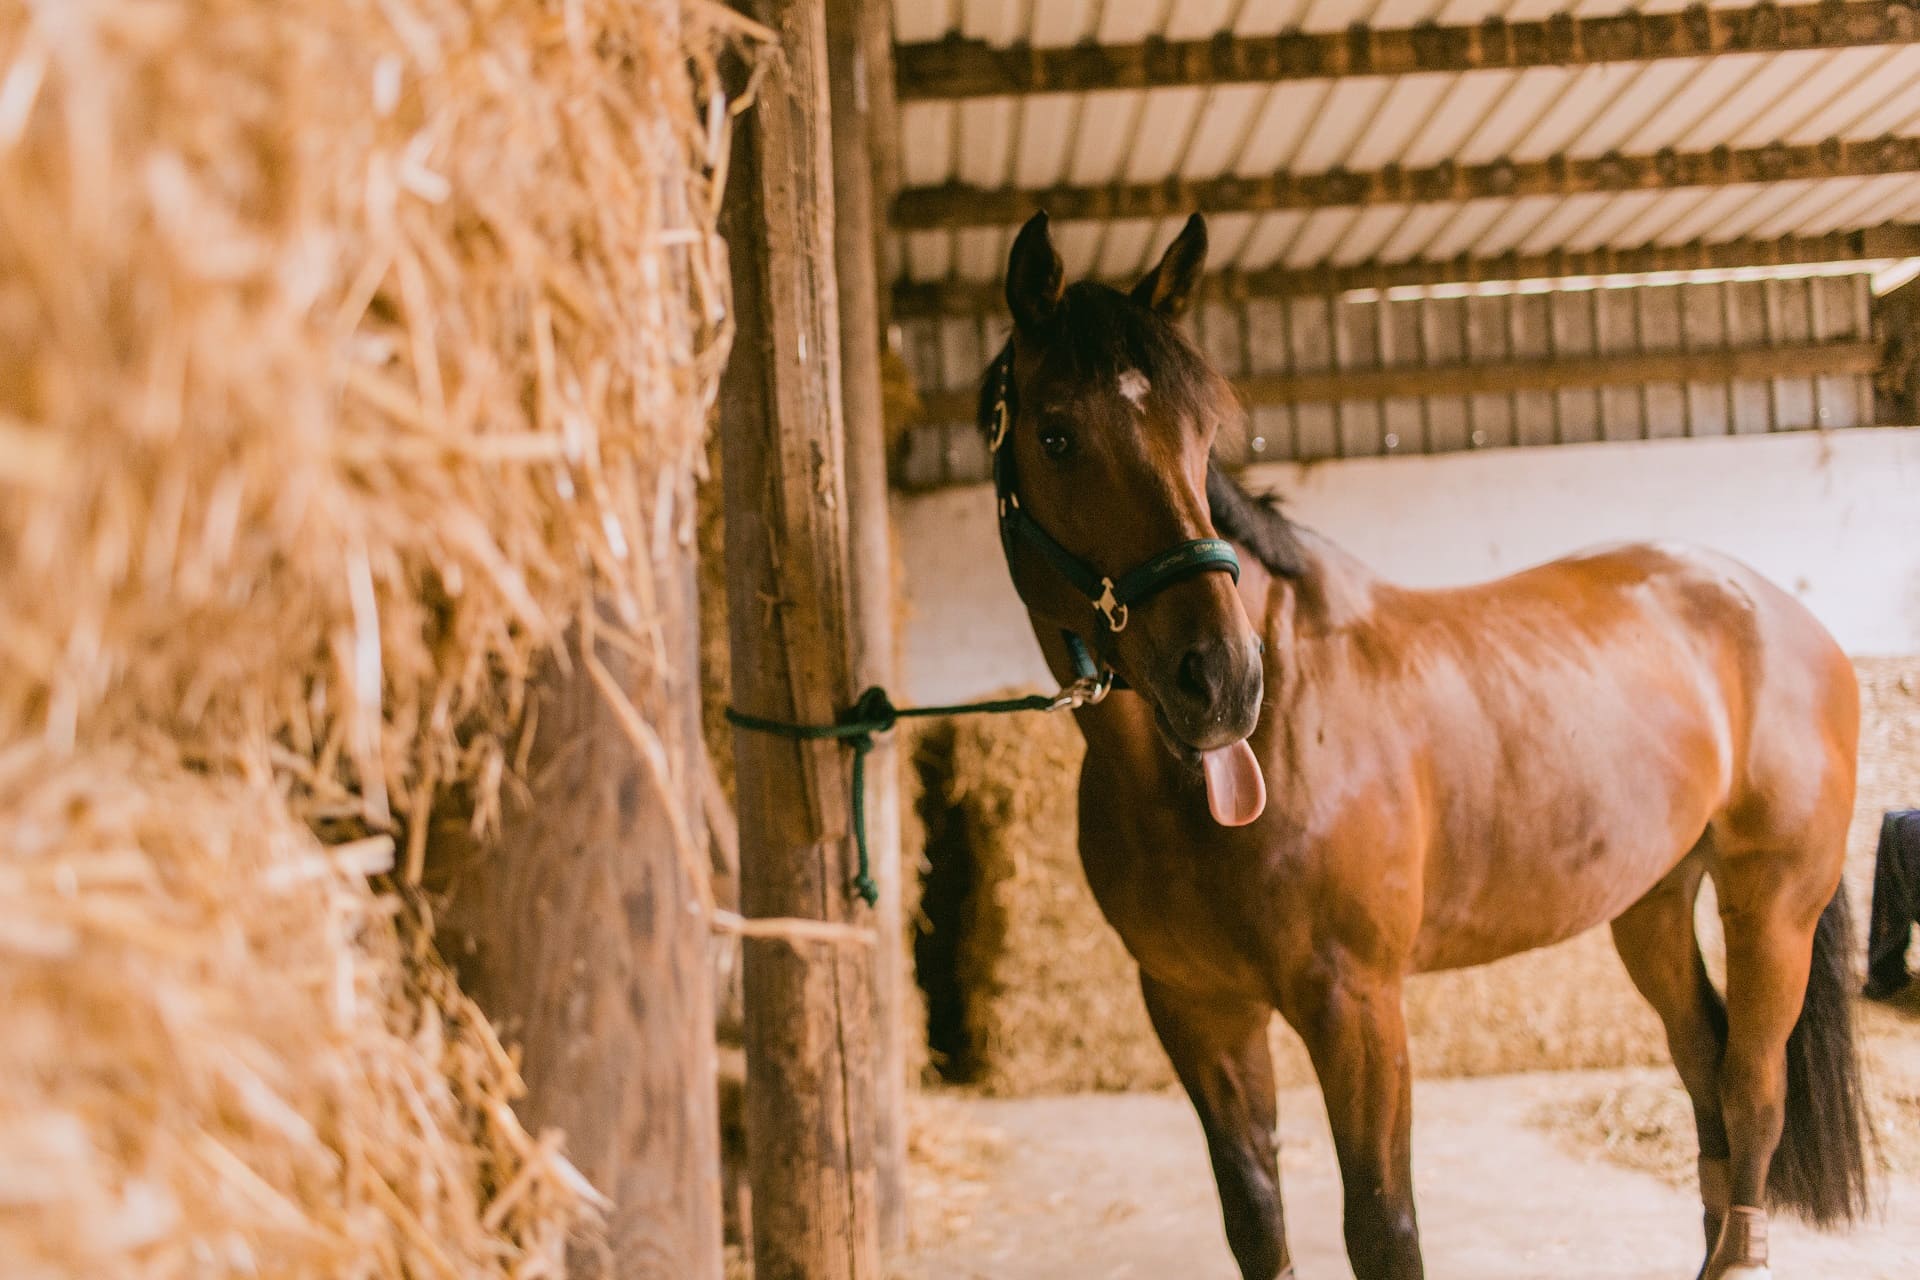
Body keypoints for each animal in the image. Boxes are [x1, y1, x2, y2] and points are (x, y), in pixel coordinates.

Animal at [979, 209, 1872, 1280]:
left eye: (1202, 437)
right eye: (1055, 433)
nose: (1224, 680)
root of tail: (1781, 612)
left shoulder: (1358, 1005)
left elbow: (1382, 1224)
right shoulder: (1198, 1010)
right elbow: (1256, 1220)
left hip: (1772, 905)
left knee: (1753, 1098)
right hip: (1653, 904)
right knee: (1707, 1083)